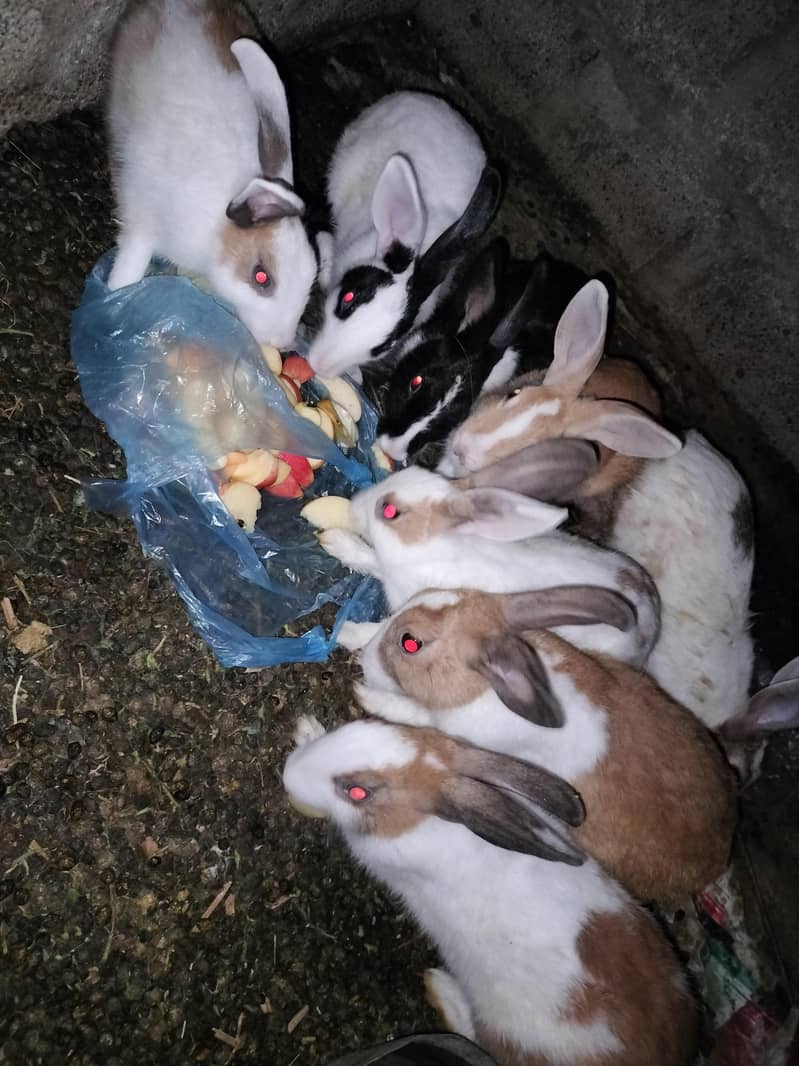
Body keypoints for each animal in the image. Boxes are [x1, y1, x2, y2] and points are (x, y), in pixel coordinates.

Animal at [107, 0, 316, 347]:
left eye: (313, 274)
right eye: (261, 277)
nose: (281, 342)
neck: (216, 230)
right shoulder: (141, 222)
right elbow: (130, 263)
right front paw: (116, 294)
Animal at [284, 717, 699, 1066]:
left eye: (357, 792)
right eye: (368, 724)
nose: (289, 772)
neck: (426, 821)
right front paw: (308, 729)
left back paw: (439, 986)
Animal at [317, 444, 661, 667]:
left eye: (389, 510)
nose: (353, 506)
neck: (430, 549)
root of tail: (652, 623)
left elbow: (382, 629)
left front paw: (345, 632)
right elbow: (369, 558)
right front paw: (336, 541)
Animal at [339, 584, 737, 900]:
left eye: (410, 643)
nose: (368, 660)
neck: (482, 687)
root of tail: (716, 862)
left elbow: (413, 712)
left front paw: (366, 693)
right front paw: (350, 634)